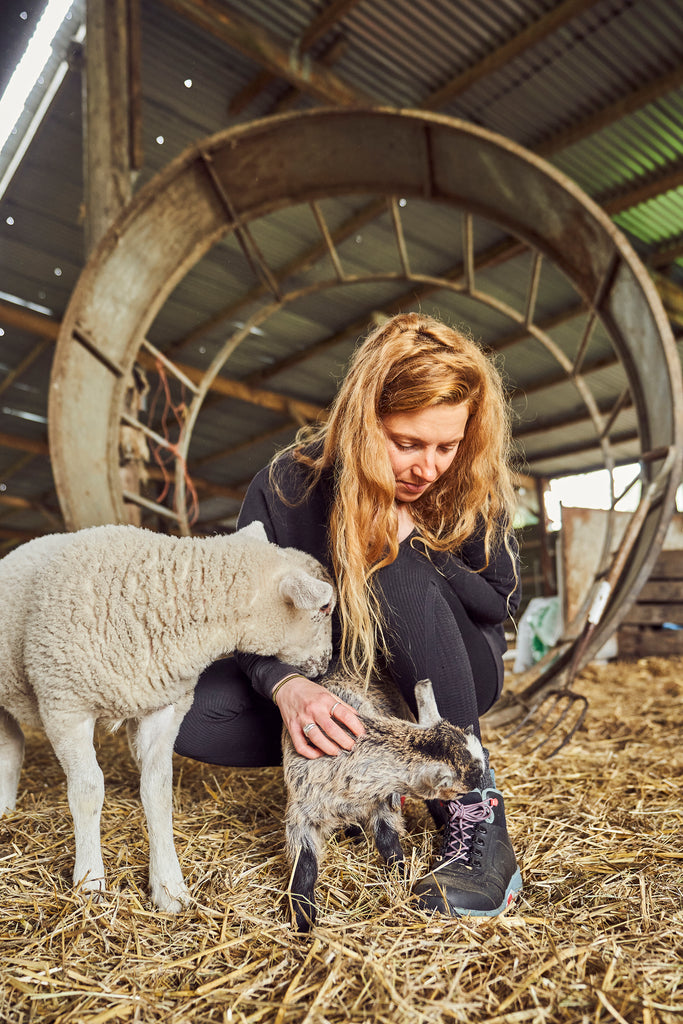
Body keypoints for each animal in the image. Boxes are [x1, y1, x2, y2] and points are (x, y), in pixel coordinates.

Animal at [0, 524, 335, 909]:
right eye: (325, 608)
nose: (325, 665)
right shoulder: (64, 704)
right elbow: (87, 791)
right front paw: (89, 880)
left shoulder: (165, 708)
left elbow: (157, 791)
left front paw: (168, 887)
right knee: (11, 748)